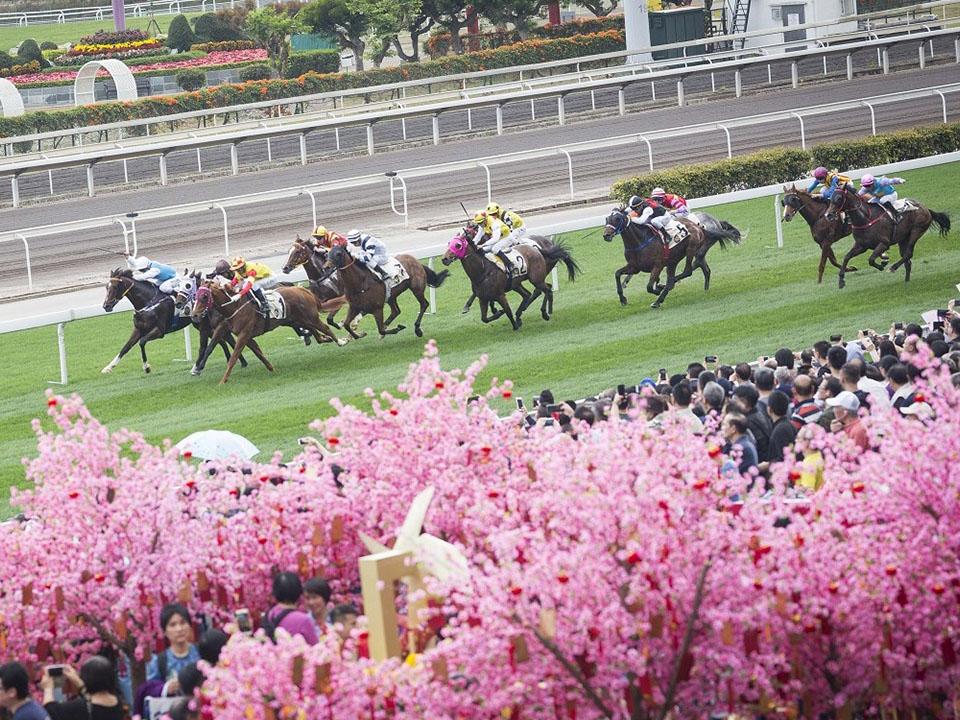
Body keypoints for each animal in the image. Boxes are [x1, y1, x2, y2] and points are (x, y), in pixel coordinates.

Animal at [100, 268, 239, 374]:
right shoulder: (138, 329)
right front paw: (108, 367)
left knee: (221, 339)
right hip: (199, 325)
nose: (106, 306)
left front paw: (146, 367)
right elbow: (125, 347)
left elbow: (142, 342)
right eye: (106, 287)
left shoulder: (159, 331)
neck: (148, 302)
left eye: (115, 286)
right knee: (221, 340)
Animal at [188, 280, 344, 386]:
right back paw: (326, 339)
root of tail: (302, 290)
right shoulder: (242, 333)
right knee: (315, 333)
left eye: (204, 297)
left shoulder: (244, 333)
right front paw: (271, 368)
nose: (194, 315)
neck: (234, 307)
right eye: (195, 296)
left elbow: (233, 357)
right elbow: (258, 352)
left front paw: (223, 380)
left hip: (310, 318)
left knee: (325, 328)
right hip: (298, 320)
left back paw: (341, 341)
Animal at [440, 233, 576, 330]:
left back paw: (545, 312)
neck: (483, 271)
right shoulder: (482, 298)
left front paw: (514, 325)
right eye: (449, 243)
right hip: (517, 283)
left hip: (536, 279)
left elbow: (508, 311)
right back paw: (524, 313)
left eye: (458, 245)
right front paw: (498, 312)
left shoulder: (500, 294)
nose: (444, 258)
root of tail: (537, 249)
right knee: (530, 293)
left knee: (546, 290)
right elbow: (484, 318)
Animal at [600, 208, 744, 310]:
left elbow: (649, 287)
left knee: (689, 270)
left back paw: (665, 291)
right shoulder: (634, 267)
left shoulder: (657, 265)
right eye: (607, 218)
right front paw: (622, 298)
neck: (640, 241)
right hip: (674, 260)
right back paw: (660, 299)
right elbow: (617, 274)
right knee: (699, 270)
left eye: (617, 218)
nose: (606, 235)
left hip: (692, 249)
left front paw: (657, 287)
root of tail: (700, 226)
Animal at [824, 186, 952, 290]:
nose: (828, 215)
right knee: (907, 261)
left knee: (908, 254)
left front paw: (882, 265)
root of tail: (926, 208)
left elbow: (871, 260)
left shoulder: (884, 243)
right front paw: (841, 281)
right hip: (903, 239)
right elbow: (846, 257)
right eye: (831, 198)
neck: (865, 218)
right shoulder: (861, 246)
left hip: (916, 231)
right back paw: (906, 280)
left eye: (839, 198)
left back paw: (893, 268)